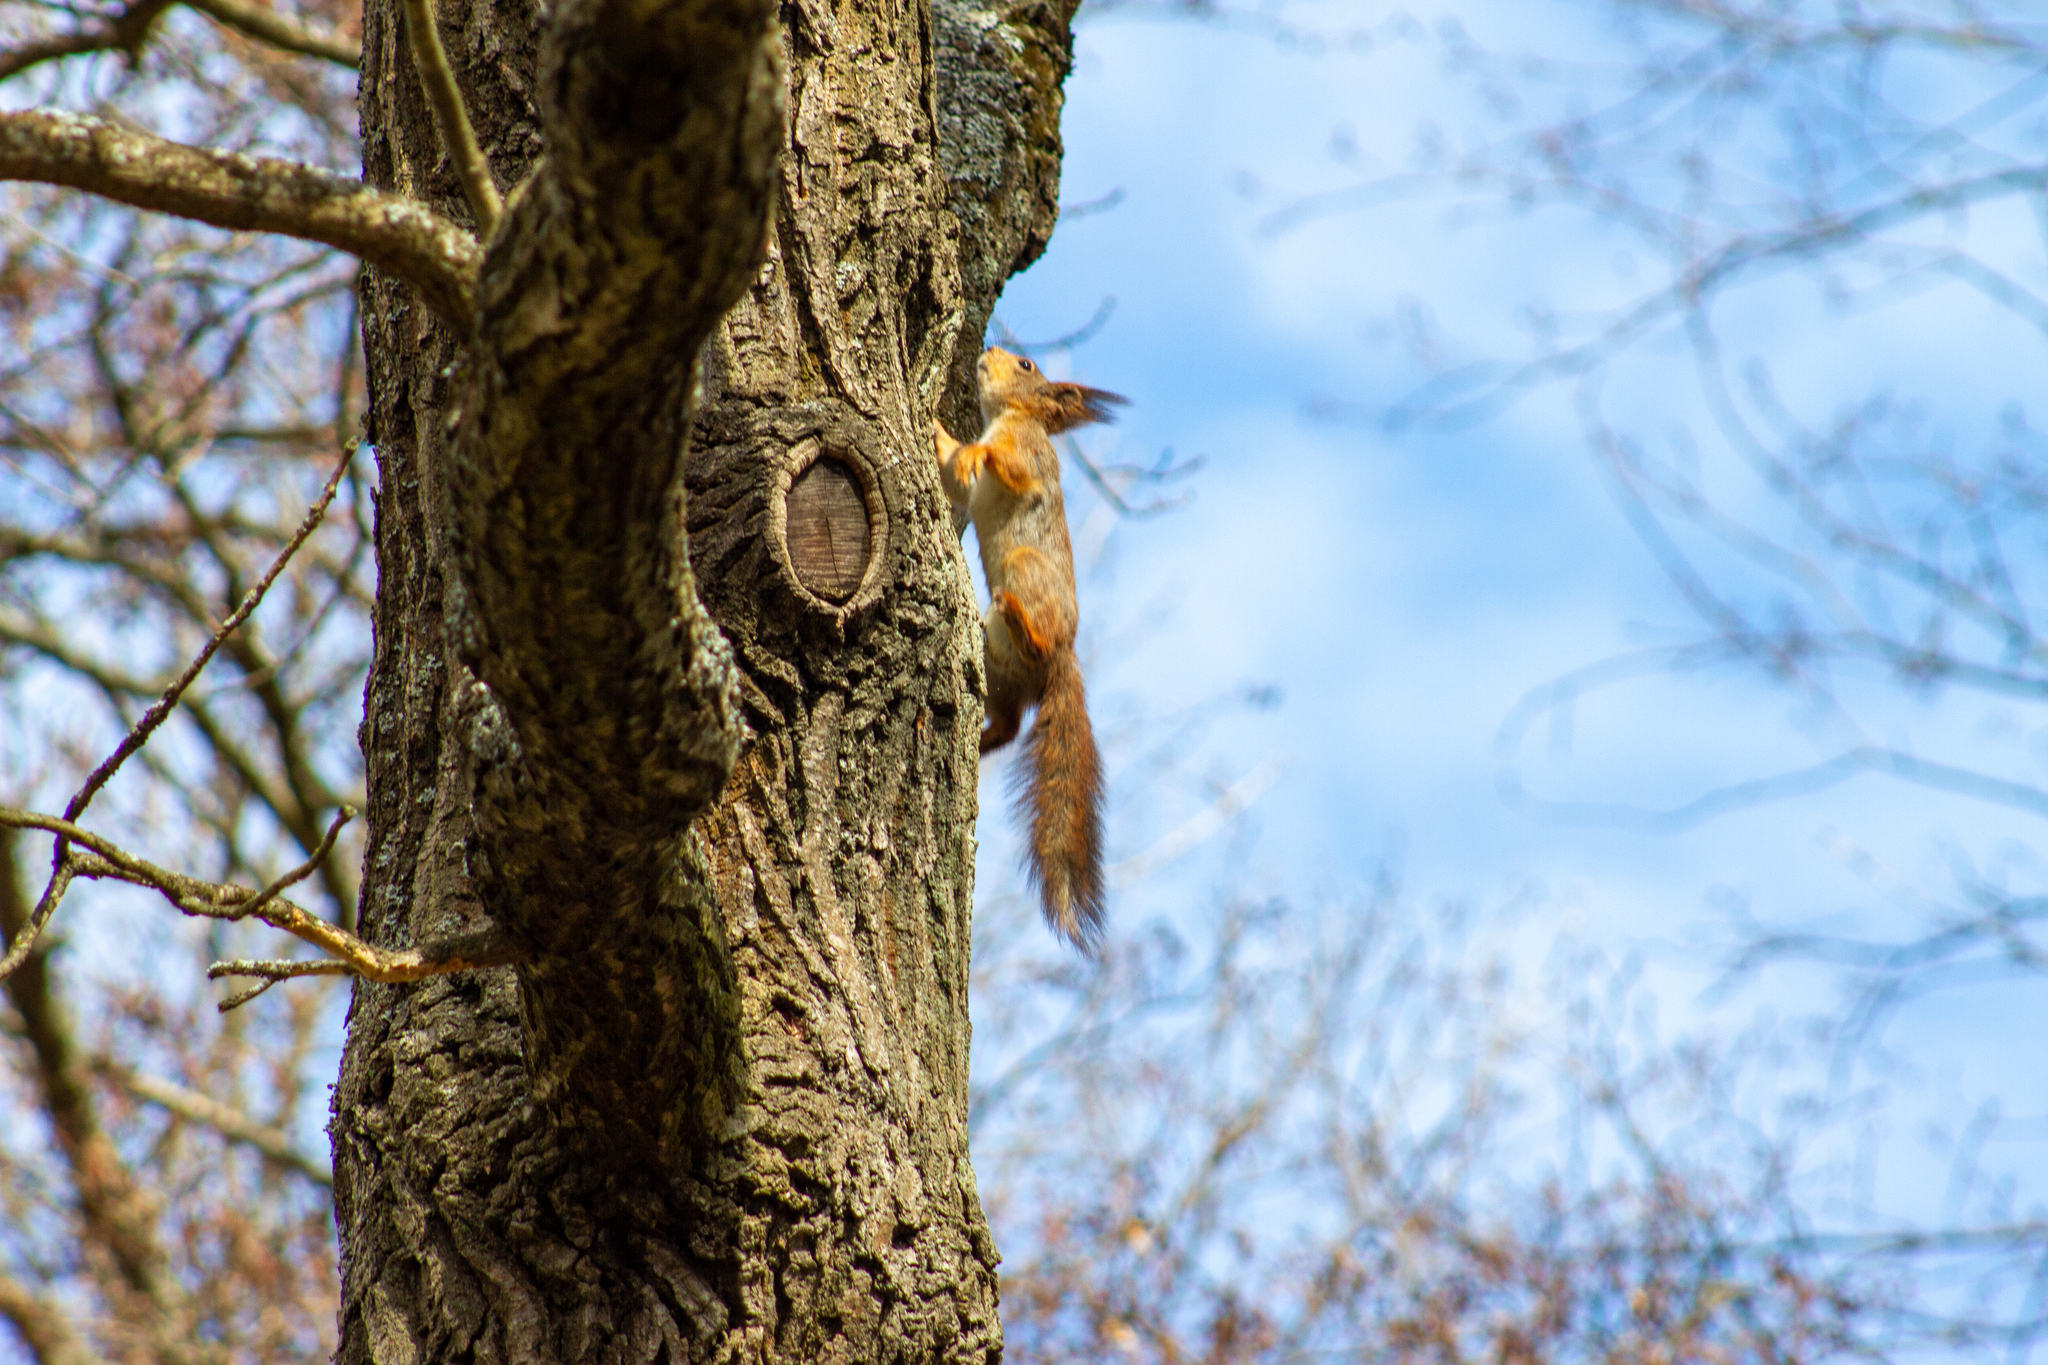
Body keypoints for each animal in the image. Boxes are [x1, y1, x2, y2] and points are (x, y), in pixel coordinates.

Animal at [929, 349, 1122, 949]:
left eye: (1026, 364)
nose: (987, 352)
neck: (1011, 418)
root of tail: (1063, 659)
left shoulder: (1031, 455)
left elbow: (1004, 464)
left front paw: (975, 450)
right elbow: (952, 472)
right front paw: (939, 430)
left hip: (1024, 572)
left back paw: (1017, 613)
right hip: (1000, 677)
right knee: (1011, 727)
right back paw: (983, 740)